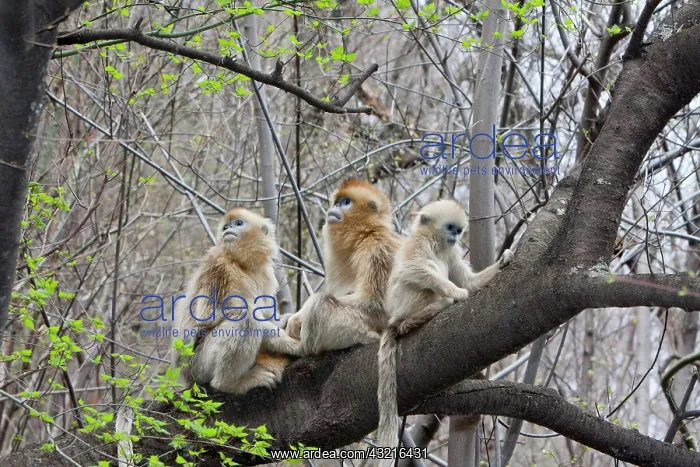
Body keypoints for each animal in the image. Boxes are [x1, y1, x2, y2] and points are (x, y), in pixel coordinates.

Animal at [172, 208, 305, 394]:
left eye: (238, 223)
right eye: (225, 226)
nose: (228, 229)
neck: (242, 264)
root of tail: (184, 376)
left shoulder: (266, 273)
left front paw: (285, 321)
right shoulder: (219, 266)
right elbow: (209, 315)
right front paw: (292, 344)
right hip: (197, 366)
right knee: (245, 317)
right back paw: (231, 383)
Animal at [286, 179, 401, 354]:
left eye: (346, 202)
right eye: (337, 202)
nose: (336, 207)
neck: (364, 236)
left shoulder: (379, 249)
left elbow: (376, 303)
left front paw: (302, 313)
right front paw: (296, 317)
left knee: (319, 305)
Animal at [376, 199, 514, 447]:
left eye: (459, 230)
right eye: (450, 228)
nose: (455, 237)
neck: (436, 243)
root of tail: (394, 319)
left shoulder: (451, 252)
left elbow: (470, 282)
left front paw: (503, 261)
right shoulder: (419, 244)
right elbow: (409, 268)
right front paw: (456, 293)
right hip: (403, 305)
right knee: (418, 276)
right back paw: (428, 312)